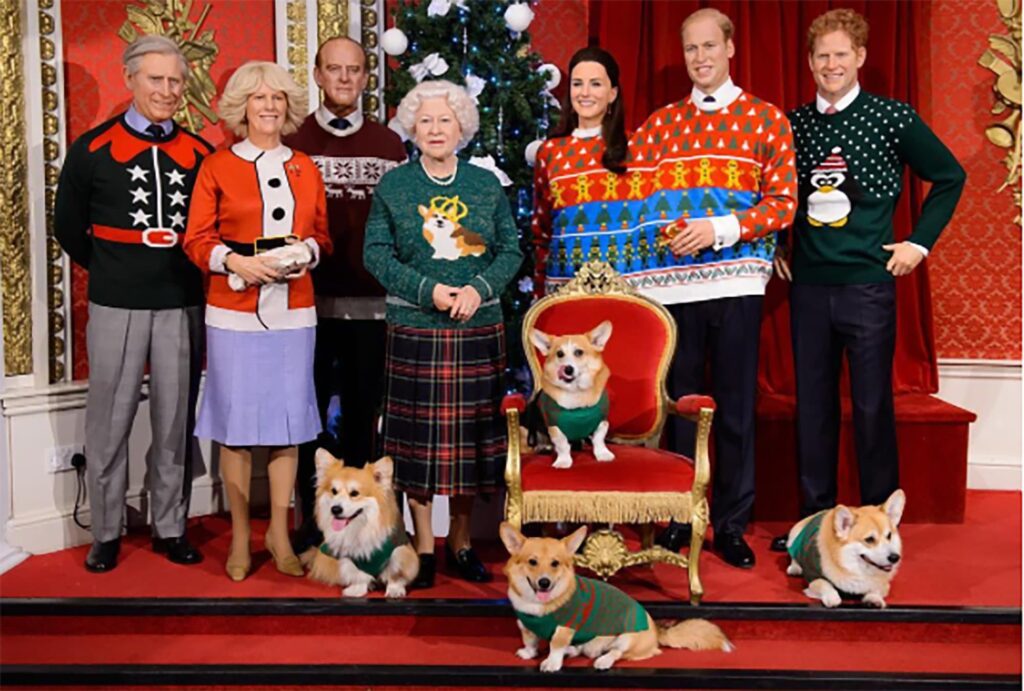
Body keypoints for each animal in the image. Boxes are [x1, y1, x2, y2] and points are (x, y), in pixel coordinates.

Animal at [302, 450, 419, 598]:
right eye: (334, 491)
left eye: (354, 493)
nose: (335, 509)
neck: (360, 527)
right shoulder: (349, 558)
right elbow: (358, 574)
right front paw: (357, 589)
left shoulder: (400, 551)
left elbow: (395, 574)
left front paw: (395, 589)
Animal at [500, 522, 731, 672]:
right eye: (532, 562)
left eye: (555, 563)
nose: (544, 583)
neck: (538, 604)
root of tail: (658, 632)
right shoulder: (525, 624)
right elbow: (530, 640)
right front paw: (529, 653)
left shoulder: (565, 628)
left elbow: (556, 645)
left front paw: (551, 663)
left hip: (627, 636)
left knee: (618, 653)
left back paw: (603, 661)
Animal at [529, 321, 614, 469]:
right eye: (559, 354)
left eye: (579, 352)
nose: (567, 369)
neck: (576, 391)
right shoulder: (554, 426)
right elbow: (562, 444)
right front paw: (563, 461)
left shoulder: (602, 421)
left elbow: (599, 440)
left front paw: (603, 454)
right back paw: (544, 446)